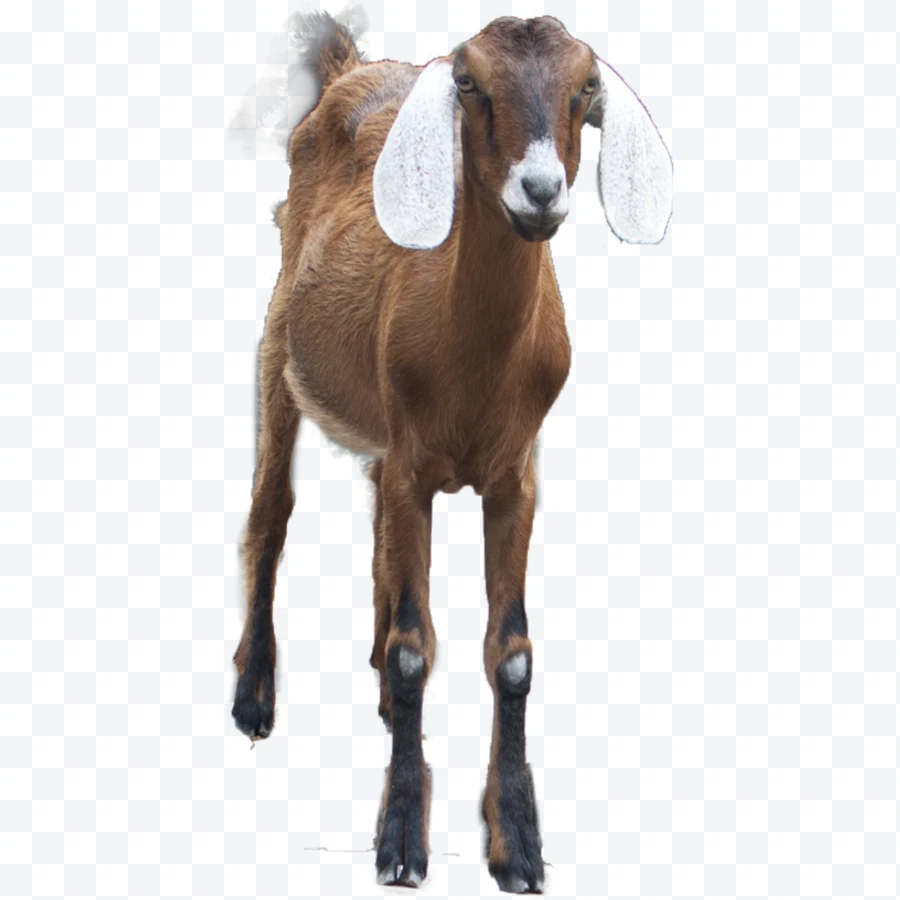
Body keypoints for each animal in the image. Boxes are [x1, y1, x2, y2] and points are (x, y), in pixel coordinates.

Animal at [230, 10, 672, 893]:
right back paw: (255, 696)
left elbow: (512, 655)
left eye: (584, 89)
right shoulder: (414, 466)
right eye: (469, 83)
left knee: (373, 534)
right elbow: (413, 651)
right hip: (279, 341)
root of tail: (351, 69)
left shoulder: (514, 479)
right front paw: (402, 841)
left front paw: (520, 845)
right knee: (271, 514)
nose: (539, 191)